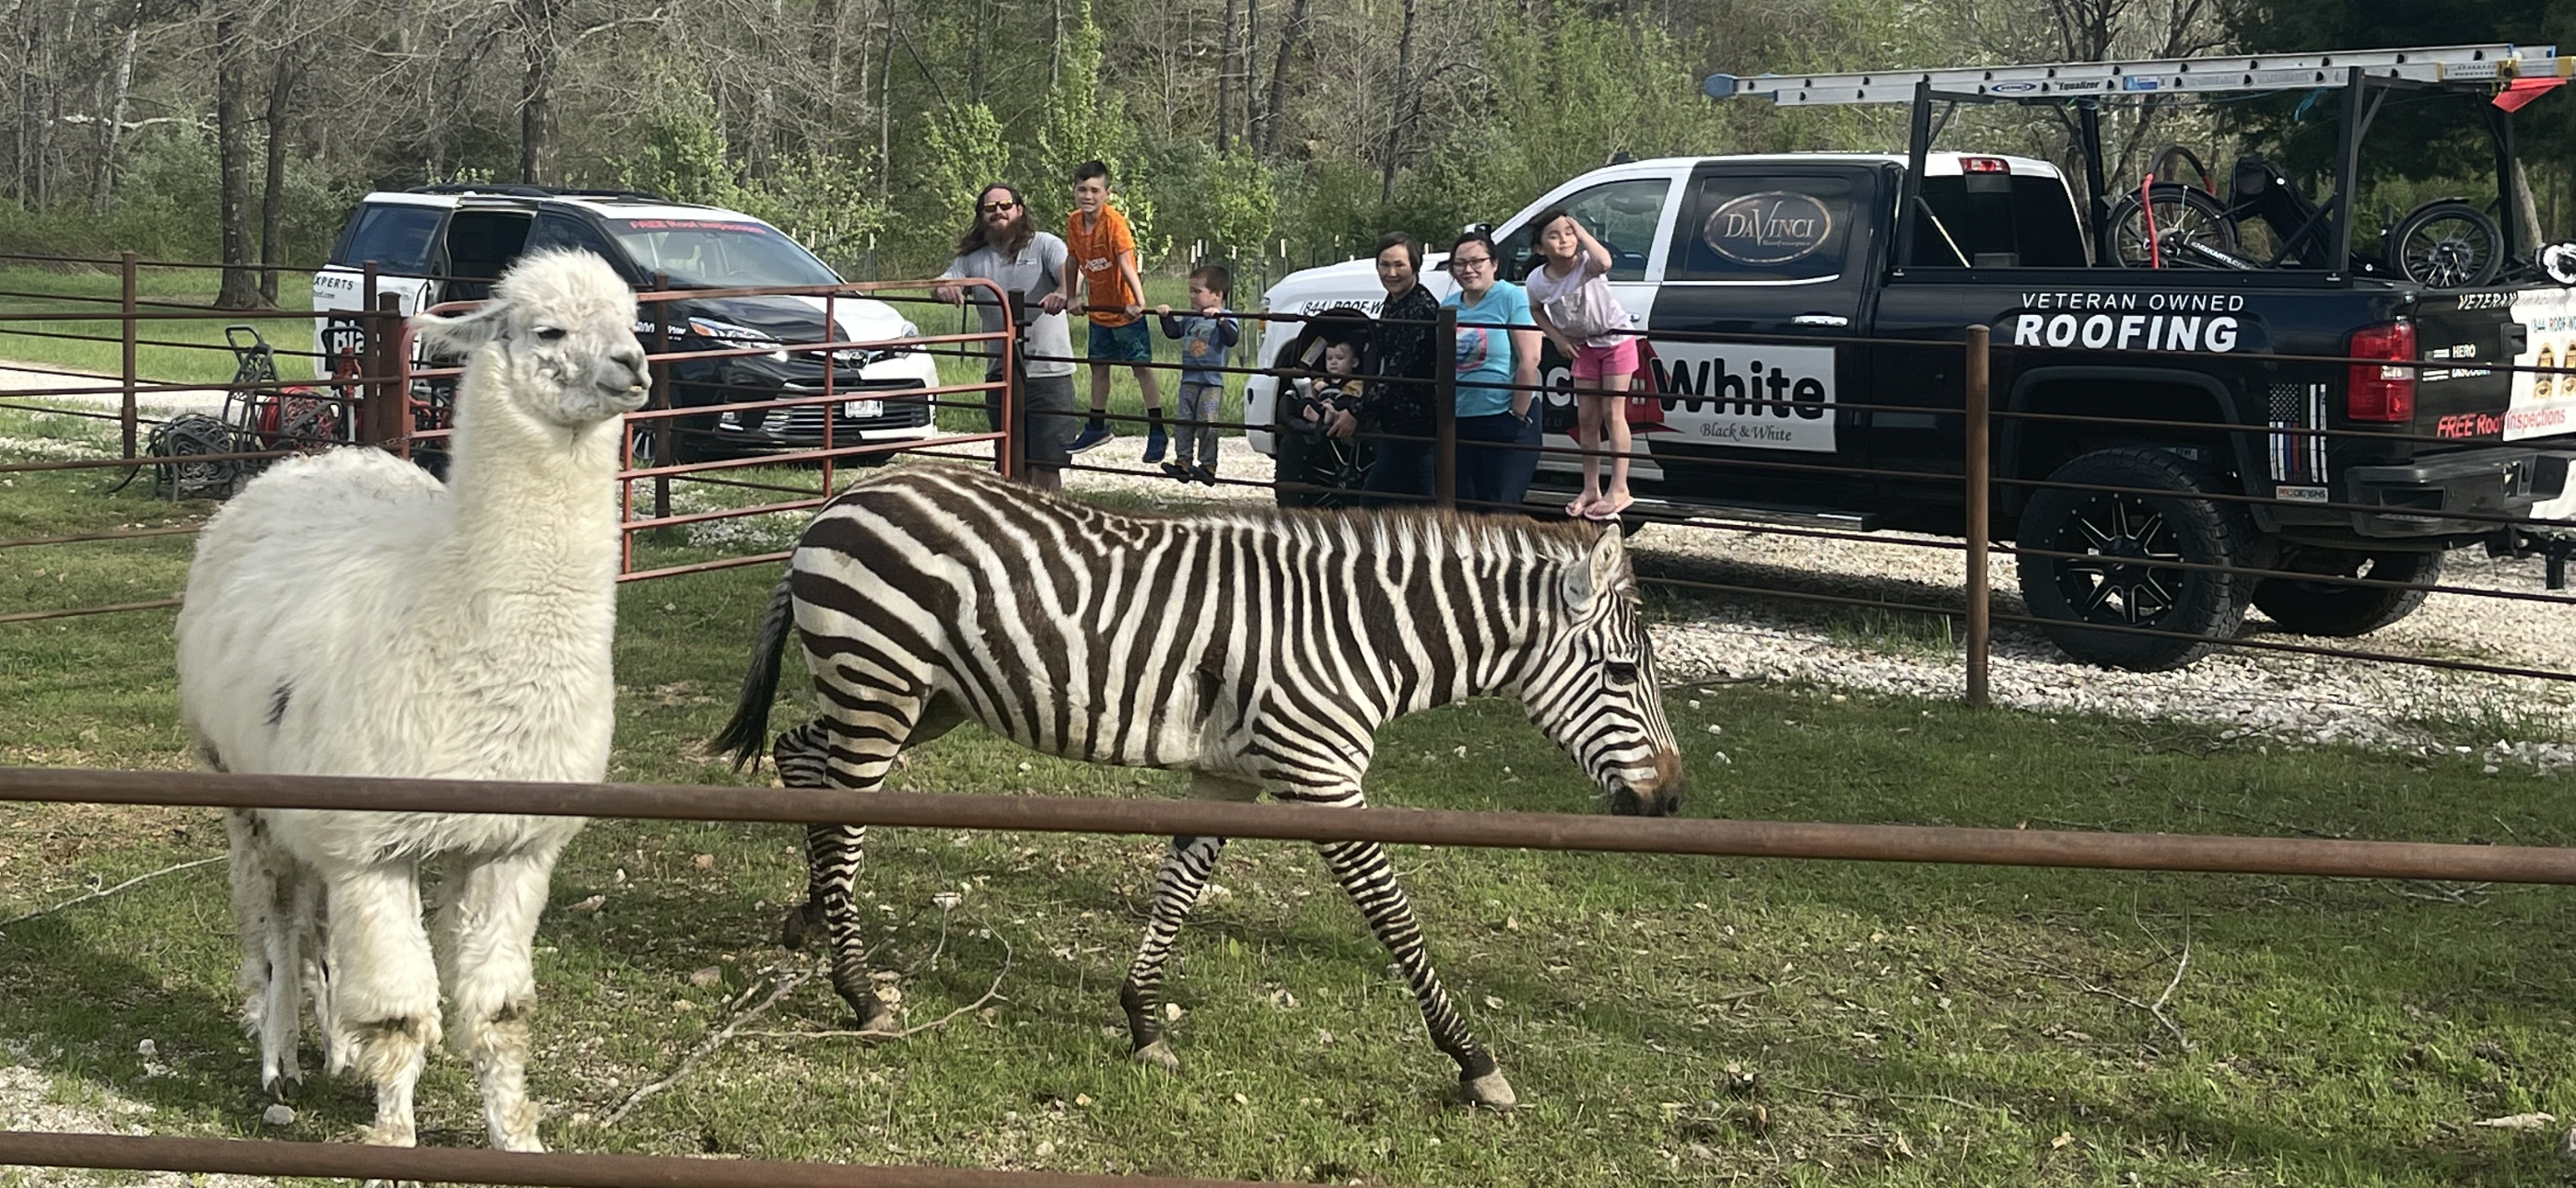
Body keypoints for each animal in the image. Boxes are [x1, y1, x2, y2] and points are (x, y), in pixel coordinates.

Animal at [716, 459, 1679, 1108]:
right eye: (1624, 671)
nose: (1670, 803)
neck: (1355, 632)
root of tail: (843, 499)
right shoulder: (1322, 776)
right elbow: (1392, 914)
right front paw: (1475, 1063)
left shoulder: (1229, 775)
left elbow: (1183, 882)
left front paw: (1142, 1020)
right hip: (880, 681)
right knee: (844, 808)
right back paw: (859, 993)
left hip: (923, 697)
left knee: (804, 758)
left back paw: (812, 922)